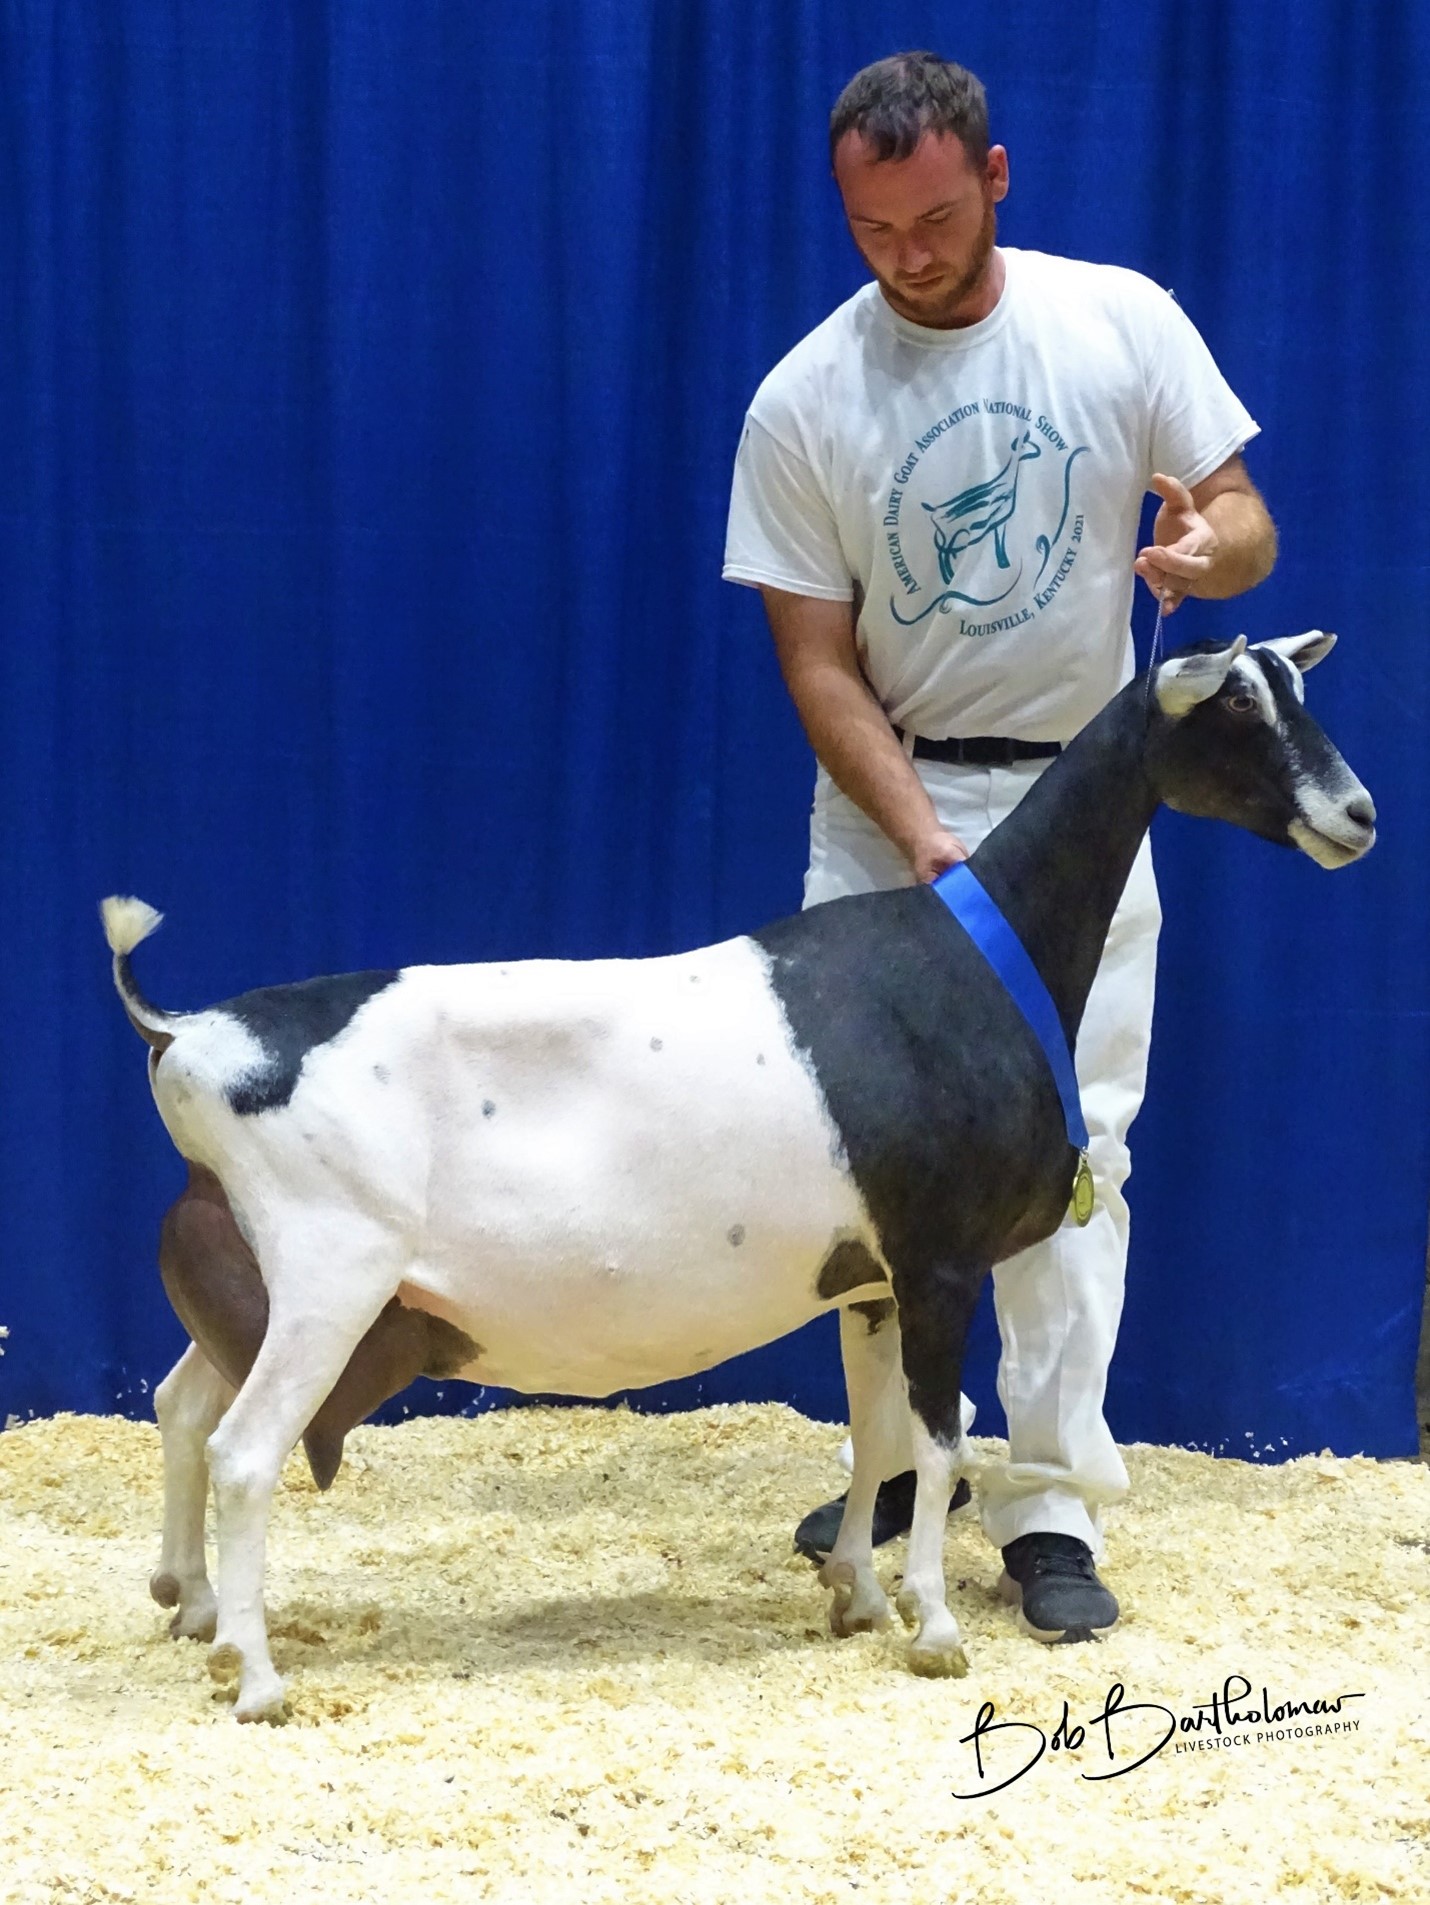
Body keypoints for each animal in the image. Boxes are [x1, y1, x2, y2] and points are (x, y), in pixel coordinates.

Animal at [104, 632, 1373, 1721]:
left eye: (1293, 689)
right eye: (1236, 707)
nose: (1355, 814)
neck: (977, 959)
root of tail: (189, 1033)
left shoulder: (870, 1279)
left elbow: (875, 1432)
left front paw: (856, 1596)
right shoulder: (941, 1262)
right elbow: (939, 1438)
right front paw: (932, 1628)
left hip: (257, 1277)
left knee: (180, 1405)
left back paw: (190, 1603)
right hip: (332, 1273)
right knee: (243, 1450)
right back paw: (256, 1677)